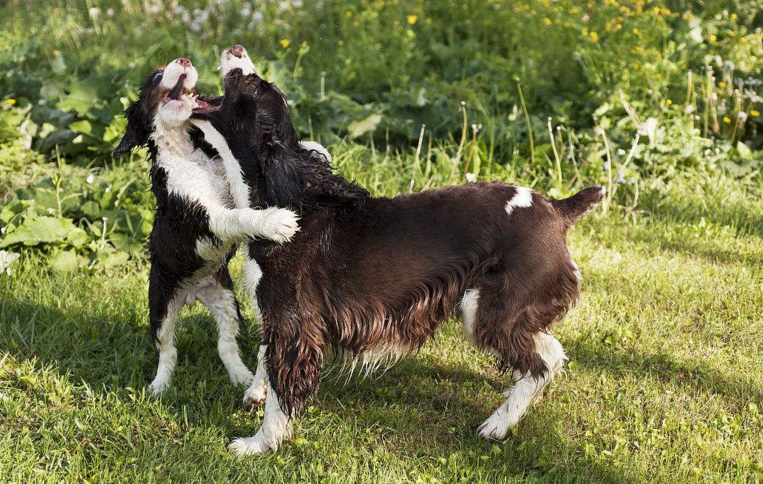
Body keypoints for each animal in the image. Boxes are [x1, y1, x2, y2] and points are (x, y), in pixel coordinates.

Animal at [115, 57, 300, 398]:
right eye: (157, 76)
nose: (184, 60)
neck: (187, 149)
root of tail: (192, 293)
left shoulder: (229, 187)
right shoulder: (205, 214)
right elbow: (240, 216)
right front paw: (277, 222)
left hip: (225, 299)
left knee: (225, 345)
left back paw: (241, 377)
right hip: (160, 303)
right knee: (167, 350)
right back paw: (160, 386)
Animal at [191, 45, 604, 454]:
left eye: (254, 86)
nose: (236, 49)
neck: (286, 200)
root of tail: (557, 208)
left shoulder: (295, 322)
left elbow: (282, 390)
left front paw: (258, 444)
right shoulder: (277, 316)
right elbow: (265, 359)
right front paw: (254, 392)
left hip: (488, 308)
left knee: (539, 364)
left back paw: (496, 426)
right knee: (552, 352)